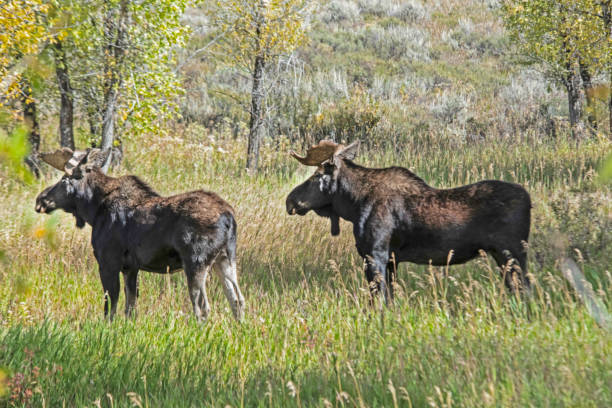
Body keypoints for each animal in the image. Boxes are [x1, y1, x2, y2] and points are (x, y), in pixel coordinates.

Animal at [35, 147, 244, 322]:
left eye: (64, 179)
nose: (40, 200)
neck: (93, 210)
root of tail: (228, 217)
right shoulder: (131, 267)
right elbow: (130, 307)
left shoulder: (108, 262)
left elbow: (111, 304)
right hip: (225, 259)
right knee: (237, 300)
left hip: (195, 262)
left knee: (202, 306)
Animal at [286, 140, 532, 302]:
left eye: (316, 176)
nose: (290, 200)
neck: (353, 205)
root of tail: (530, 201)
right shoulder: (392, 260)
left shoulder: (375, 254)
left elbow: (378, 301)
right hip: (502, 255)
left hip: (512, 252)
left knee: (526, 289)